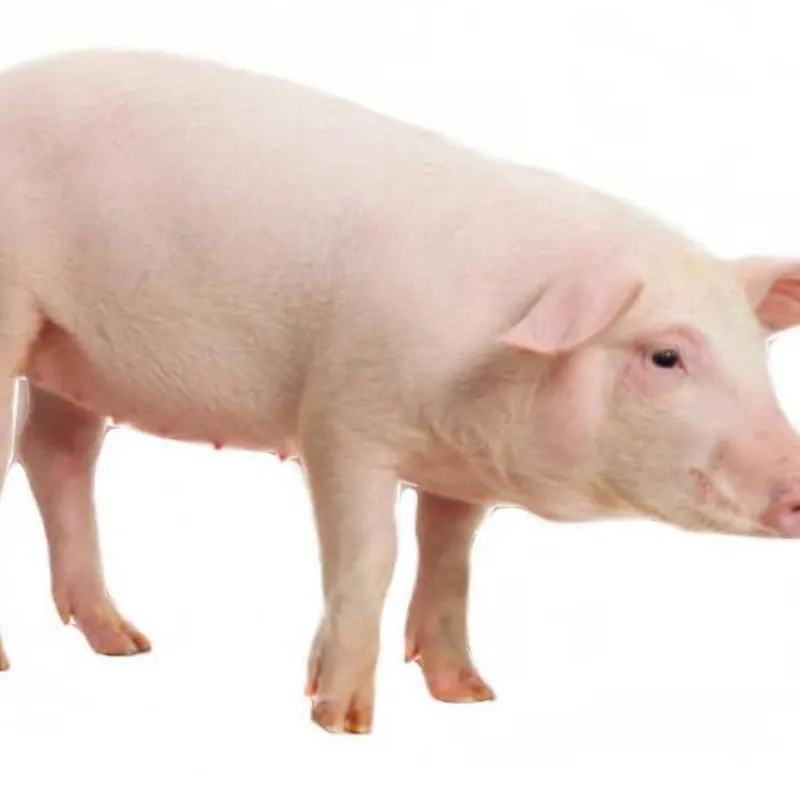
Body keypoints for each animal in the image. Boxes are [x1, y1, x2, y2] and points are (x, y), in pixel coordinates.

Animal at [0, 50, 798, 734]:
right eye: (666, 356)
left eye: (758, 354)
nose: (794, 481)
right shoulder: (341, 419)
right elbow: (371, 554)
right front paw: (342, 722)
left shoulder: (461, 470)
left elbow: (451, 559)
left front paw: (471, 695)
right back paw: (20, 662)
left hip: (70, 351)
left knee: (56, 454)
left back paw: (126, 643)